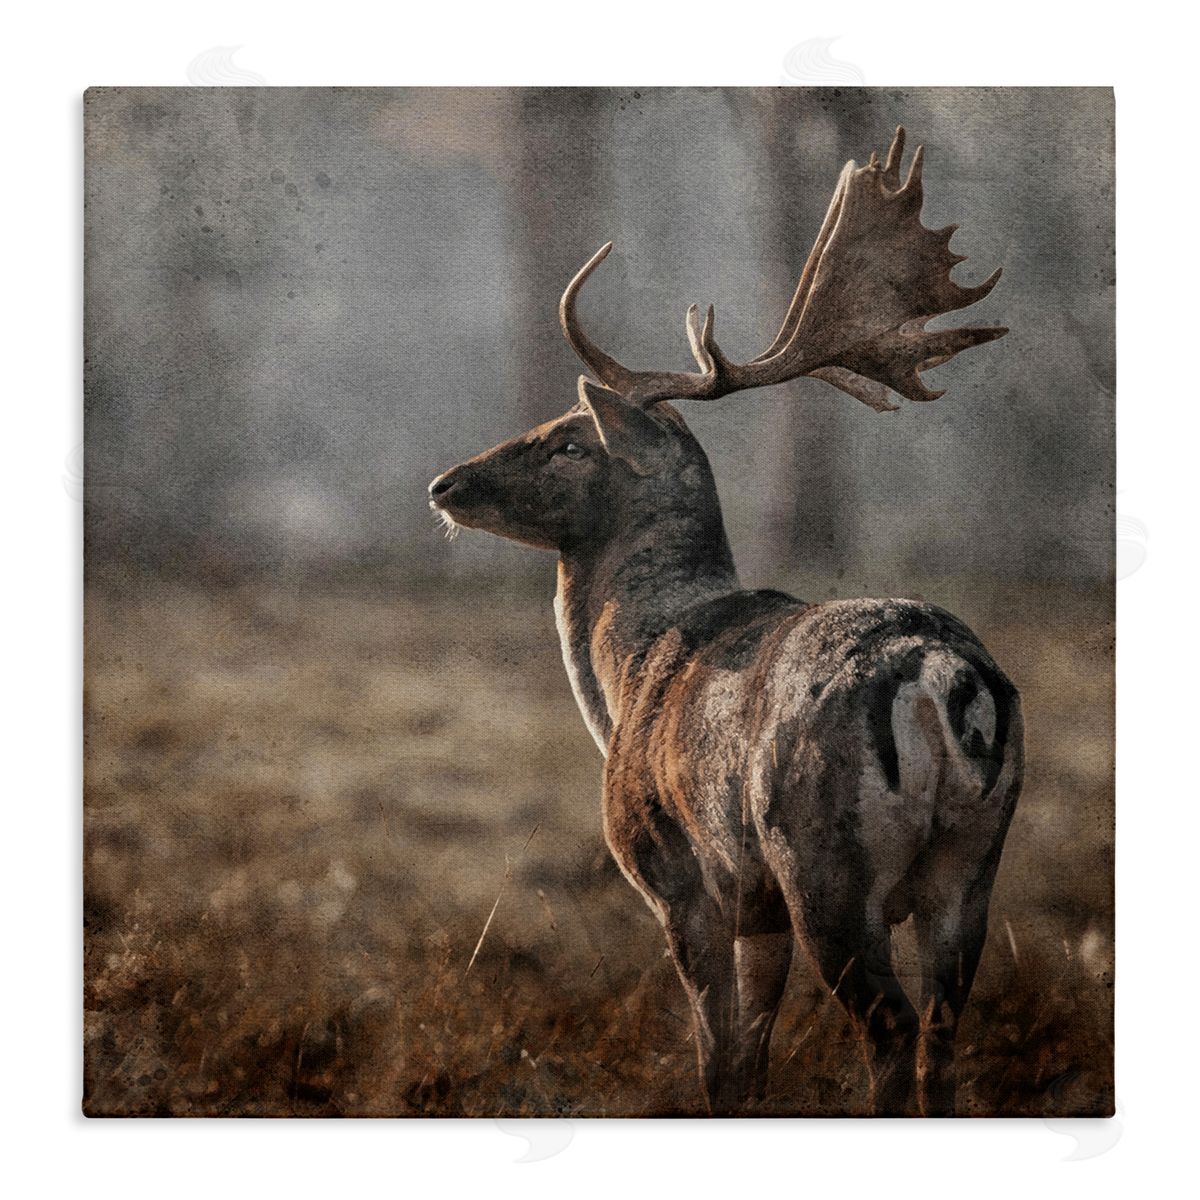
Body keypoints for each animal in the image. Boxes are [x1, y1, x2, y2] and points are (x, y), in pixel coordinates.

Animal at [427, 128, 1023, 1117]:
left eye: (569, 440)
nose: (445, 483)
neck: (629, 672)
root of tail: (945, 678)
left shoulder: (682, 877)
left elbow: (717, 1060)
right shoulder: (759, 908)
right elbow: (751, 1059)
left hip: (825, 861)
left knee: (890, 1025)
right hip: (971, 865)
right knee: (942, 1033)